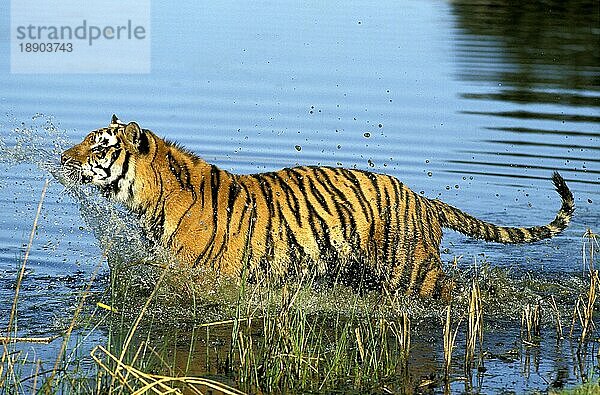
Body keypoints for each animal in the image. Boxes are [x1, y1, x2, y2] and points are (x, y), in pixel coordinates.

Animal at [61, 116, 576, 298]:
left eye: (98, 145)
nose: (64, 158)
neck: (148, 198)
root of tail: (422, 198)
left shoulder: (202, 276)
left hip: (412, 269)